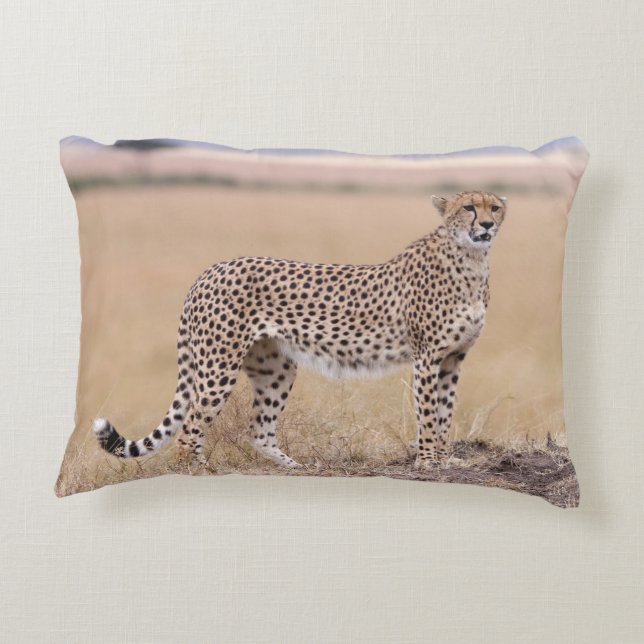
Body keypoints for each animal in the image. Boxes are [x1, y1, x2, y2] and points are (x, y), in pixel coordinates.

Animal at [93, 190, 507, 470]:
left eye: (495, 207)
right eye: (469, 207)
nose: (486, 225)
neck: (471, 260)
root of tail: (211, 269)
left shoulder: (452, 359)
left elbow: (445, 412)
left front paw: (446, 459)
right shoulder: (427, 359)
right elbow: (428, 414)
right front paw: (427, 462)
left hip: (275, 367)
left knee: (258, 430)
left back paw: (295, 466)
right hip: (218, 366)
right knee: (191, 425)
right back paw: (196, 471)